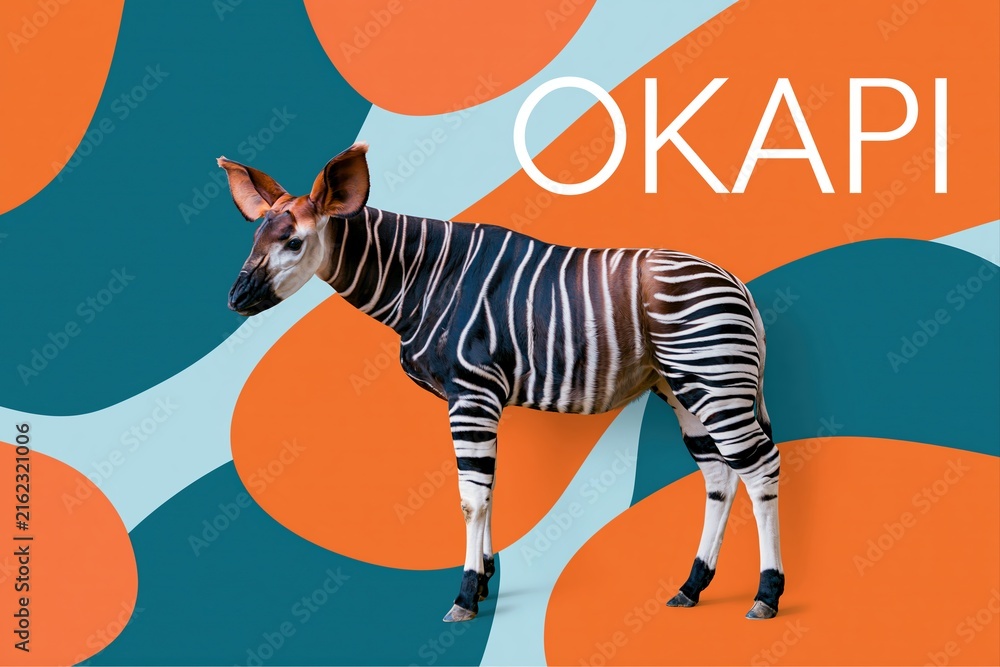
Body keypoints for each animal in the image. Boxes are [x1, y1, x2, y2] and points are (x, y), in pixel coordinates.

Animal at [221, 142, 784, 623]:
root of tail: (736, 283)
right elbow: (488, 490)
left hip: (713, 378)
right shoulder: (481, 399)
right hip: (683, 386)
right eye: (254, 240)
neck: (421, 283)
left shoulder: (471, 393)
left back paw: (766, 596)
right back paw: (692, 587)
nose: (236, 299)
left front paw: (466, 595)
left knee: (759, 468)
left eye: (294, 243)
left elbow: (471, 497)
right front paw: (487, 578)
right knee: (719, 474)